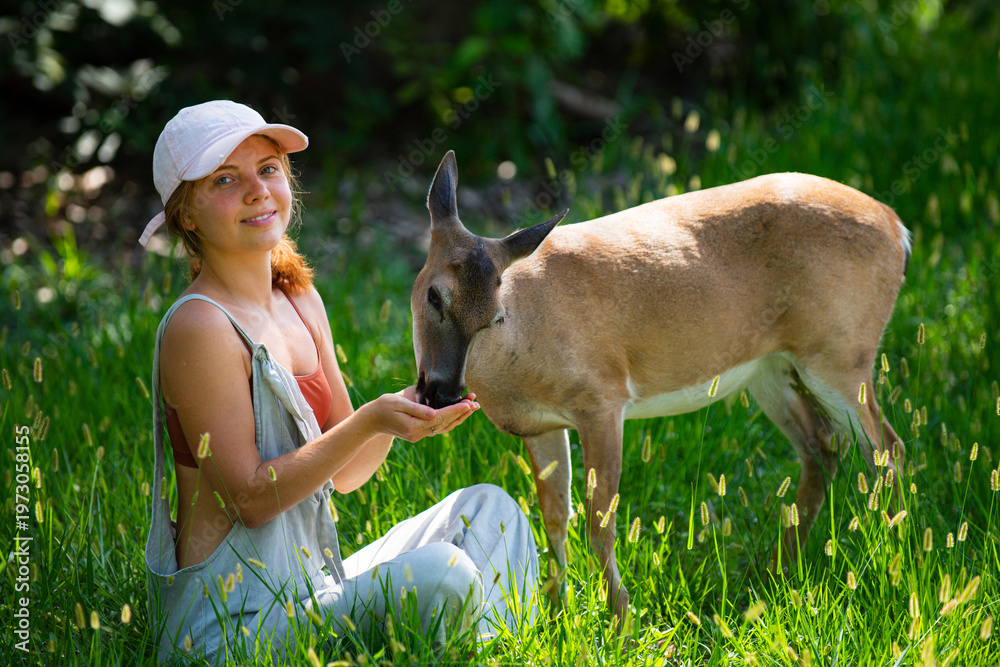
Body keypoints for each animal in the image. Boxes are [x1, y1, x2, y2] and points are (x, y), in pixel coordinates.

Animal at [410, 150, 909, 620]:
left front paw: (620, 622)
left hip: (841, 353)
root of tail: (897, 227)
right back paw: (780, 569)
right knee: (823, 446)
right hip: (771, 369)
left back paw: (896, 569)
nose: (443, 393)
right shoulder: (541, 426)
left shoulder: (603, 398)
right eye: (434, 295)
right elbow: (554, 516)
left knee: (887, 449)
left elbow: (599, 521)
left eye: (494, 317)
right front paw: (555, 616)